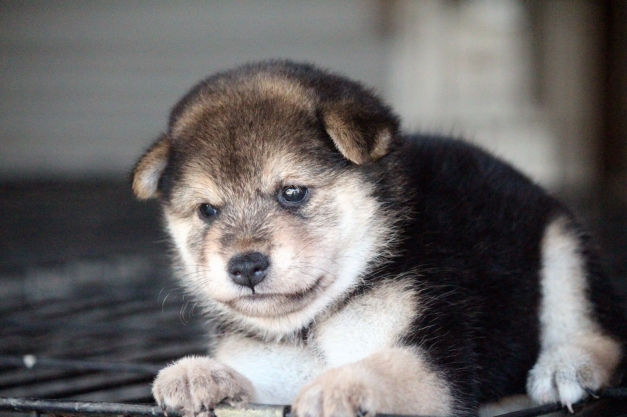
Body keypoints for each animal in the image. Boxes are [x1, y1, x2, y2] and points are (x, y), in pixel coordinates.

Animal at [132, 61, 625, 417]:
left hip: (562, 246)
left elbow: (387, 369)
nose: (245, 266)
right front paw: (199, 374)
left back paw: (568, 363)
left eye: (292, 192)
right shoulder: (273, 364)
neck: (314, 322)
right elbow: (254, 381)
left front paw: (339, 387)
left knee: (600, 331)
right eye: (207, 210)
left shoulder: (437, 362)